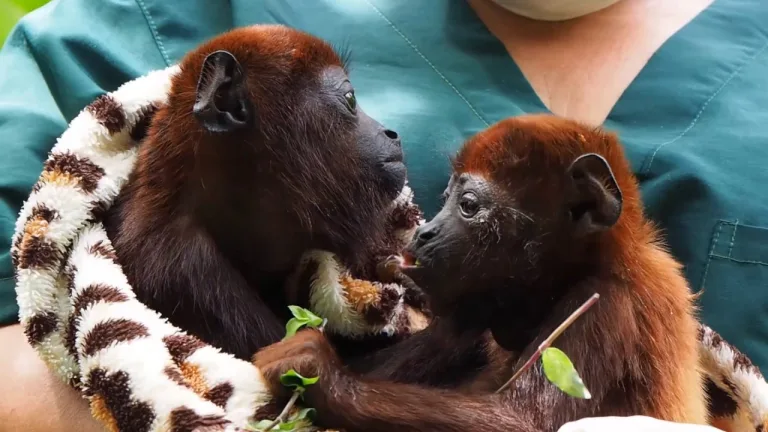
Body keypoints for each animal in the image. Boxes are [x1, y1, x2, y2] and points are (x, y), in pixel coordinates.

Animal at [252, 114, 709, 432]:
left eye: (468, 205)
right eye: (446, 196)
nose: (423, 232)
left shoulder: (602, 306)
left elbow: (527, 424)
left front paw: (319, 371)